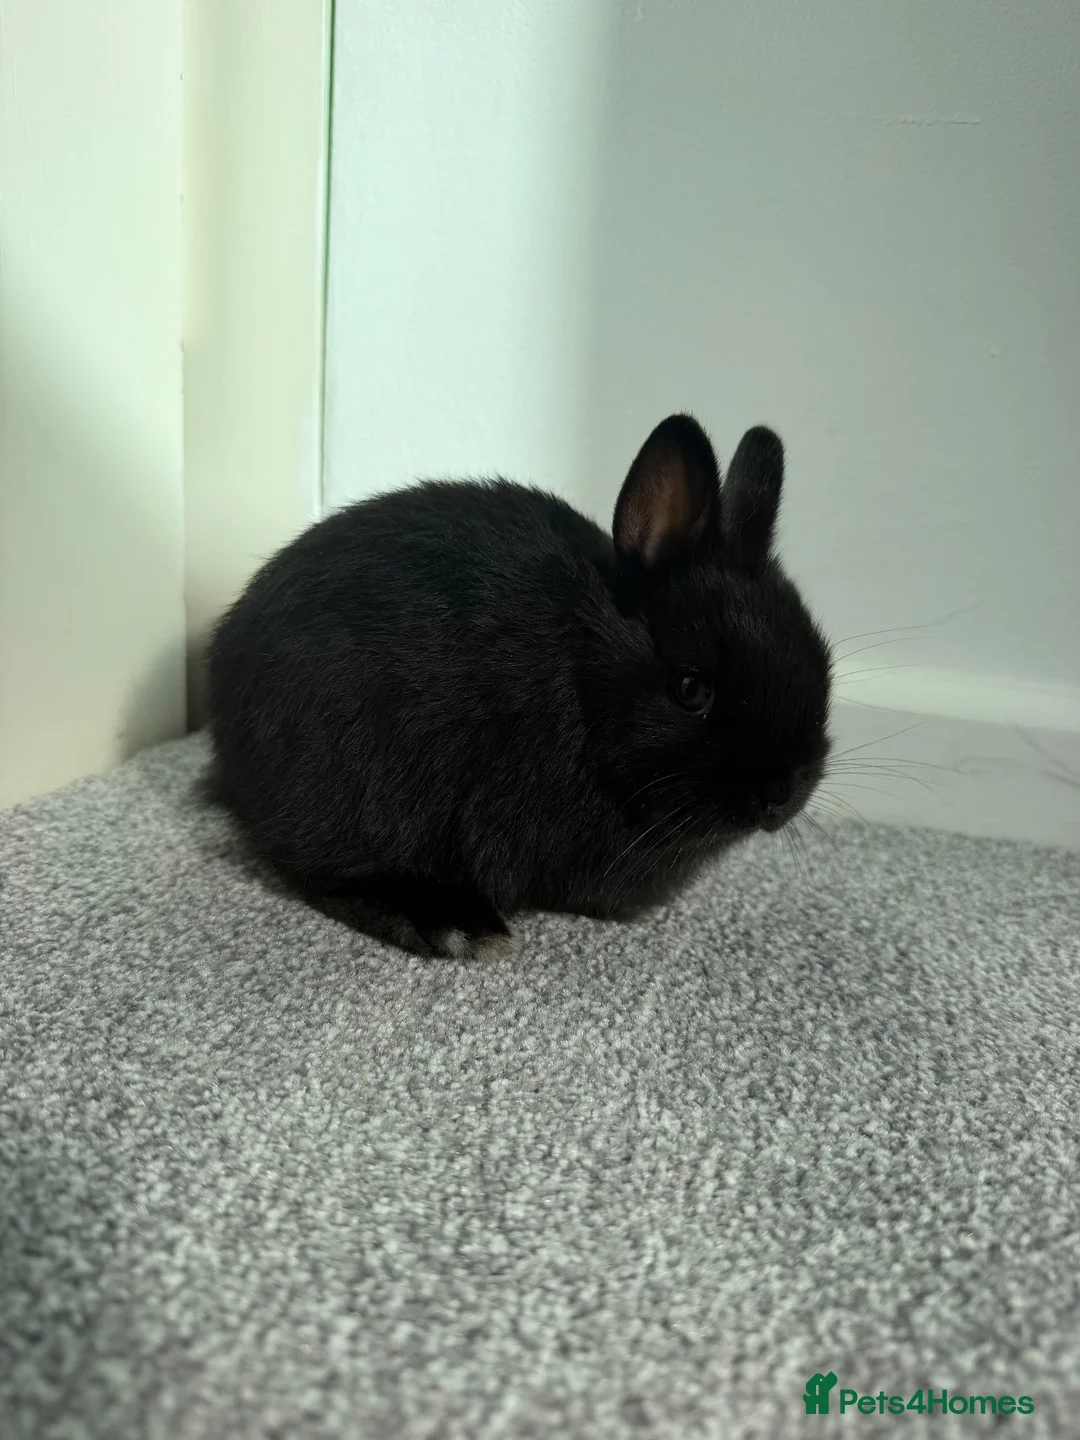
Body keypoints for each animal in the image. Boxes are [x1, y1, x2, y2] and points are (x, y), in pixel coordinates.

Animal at [207, 414, 832, 958]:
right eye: (691, 690)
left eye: (820, 660)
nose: (782, 794)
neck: (584, 676)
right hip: (350, 788)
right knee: (317, 871)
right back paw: (453, 923)